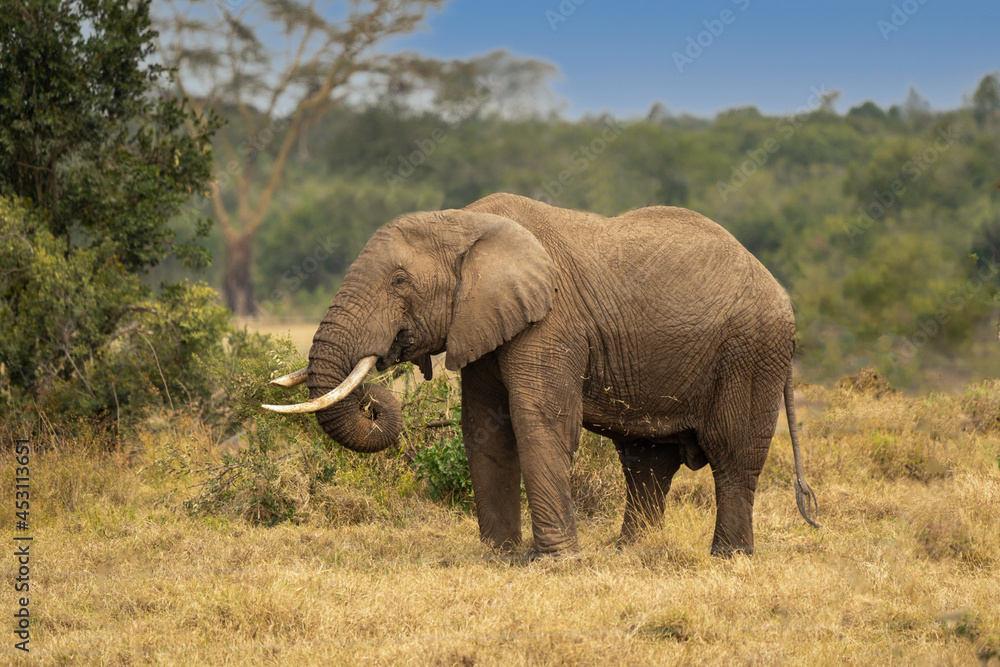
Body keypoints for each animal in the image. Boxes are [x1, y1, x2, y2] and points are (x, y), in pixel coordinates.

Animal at [266, 193, 820, 560]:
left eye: (400, 281)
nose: (375, 398)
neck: (468, 220)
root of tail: (778, 286)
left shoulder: (551, 320)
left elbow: (541, 421)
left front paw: (555, 560)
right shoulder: (485, 323)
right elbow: (484, 429)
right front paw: (501, 557)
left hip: (753, 350)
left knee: (733, 452)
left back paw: (729, 557)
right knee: (646, 460)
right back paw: (629, 554)